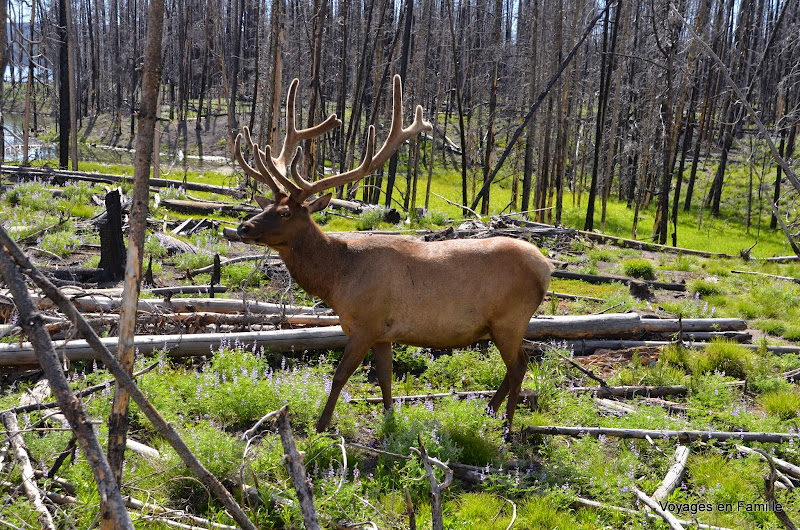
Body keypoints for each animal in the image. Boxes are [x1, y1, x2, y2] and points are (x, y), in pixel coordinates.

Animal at [234, 74, 552, 432]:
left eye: (286, 213)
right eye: (267, 206)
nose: (243, 227)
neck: (336, 279)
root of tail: (547, 267)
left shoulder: (366, 324)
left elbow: (341, 375)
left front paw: (321, 425)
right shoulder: (384, 333)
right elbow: (385, 378)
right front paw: (388, 421)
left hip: (510, 319)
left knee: (519, 366)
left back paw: (507, 427)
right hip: (504, 324)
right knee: (516, 366)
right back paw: (489, 411)